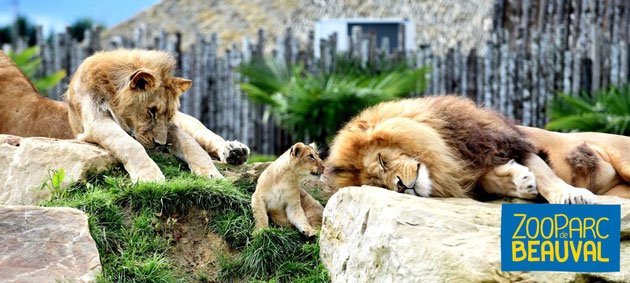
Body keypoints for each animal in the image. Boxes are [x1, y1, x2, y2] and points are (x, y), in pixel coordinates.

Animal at [326, 95, 596, 204]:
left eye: (382, 160)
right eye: (379, 186)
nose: (401, 186)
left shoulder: (503, 141)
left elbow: (546, 175)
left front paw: (571, 195)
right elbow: (487, 180)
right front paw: (518, 182)